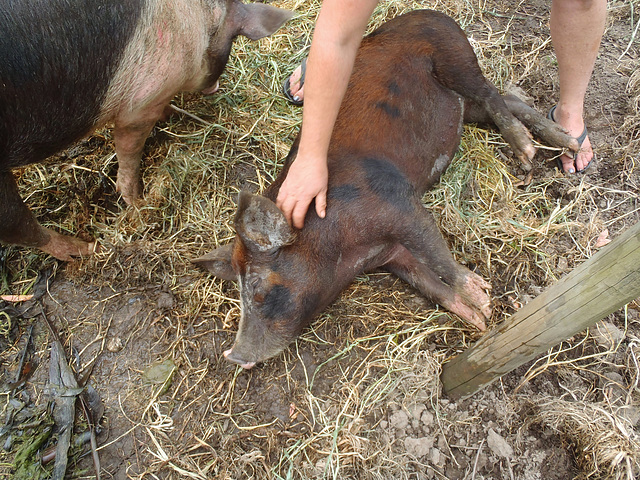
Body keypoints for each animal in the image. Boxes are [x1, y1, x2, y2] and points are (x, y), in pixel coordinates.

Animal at [0, 0, 292, 258]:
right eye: (232, 41)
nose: (216, 88)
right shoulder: (141, 103)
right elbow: (130, 148)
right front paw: (136, 201)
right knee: (16, 223)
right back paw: (87, 249)